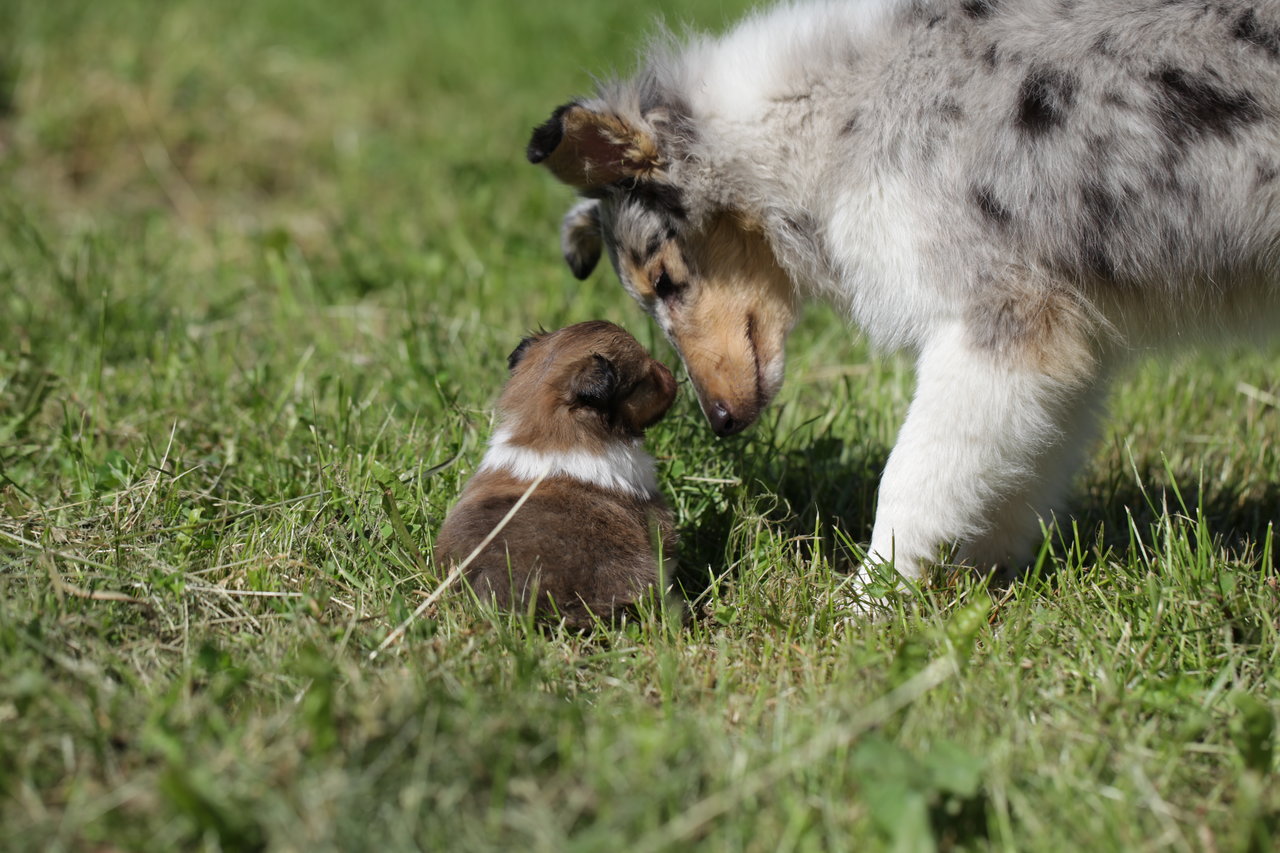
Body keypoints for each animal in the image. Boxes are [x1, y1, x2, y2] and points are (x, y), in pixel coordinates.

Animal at [522, 0, 1280, 584]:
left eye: (665, 279)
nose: (719, 421)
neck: (837, 111)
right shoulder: (1066, 338)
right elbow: (1017, 475)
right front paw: (970, 586)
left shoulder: (997, 317)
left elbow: (914, 476)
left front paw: (868, 607)